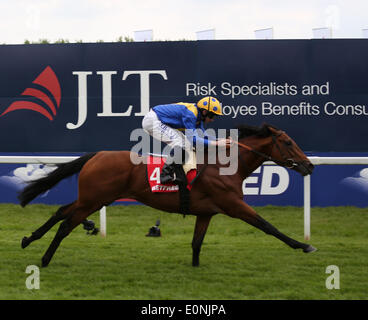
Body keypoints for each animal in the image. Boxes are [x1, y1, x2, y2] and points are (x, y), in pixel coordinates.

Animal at [18, 124, 316, 266]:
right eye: (288, 142)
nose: (310, 166)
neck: (224, 166)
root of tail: (97, 155)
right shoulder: (234, 205)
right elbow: (268, 226)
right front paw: (304, 246)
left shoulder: (206, 212)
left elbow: (196, 243)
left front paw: (195, 268)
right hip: (93, 200)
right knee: (66, 224)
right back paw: (44, 259)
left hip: (94, 198)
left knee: (61, 212)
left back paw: (28, 239)